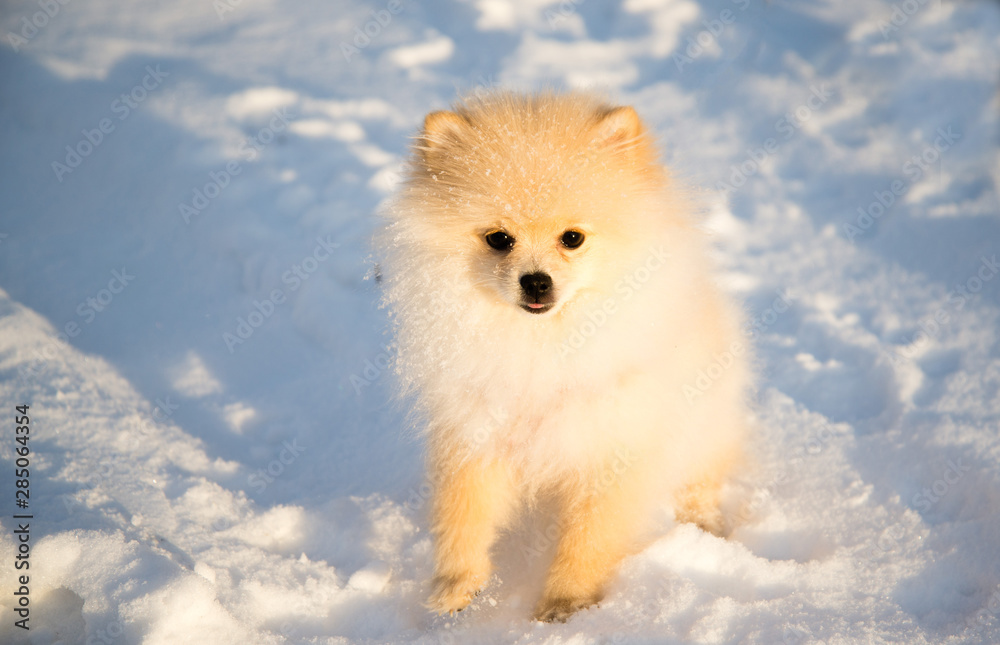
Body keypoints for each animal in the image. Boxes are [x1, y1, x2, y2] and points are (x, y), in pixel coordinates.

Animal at [376, 90, 752, 624]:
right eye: (499, 239)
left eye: (572, 238)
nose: (536, 281)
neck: (543, 348)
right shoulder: (474, 430)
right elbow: (462, 514)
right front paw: (456, 588)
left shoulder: (609, 444)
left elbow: (588, 538)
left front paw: (565, 604)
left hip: (702, 423)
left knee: (700, 478)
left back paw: (704, 525)